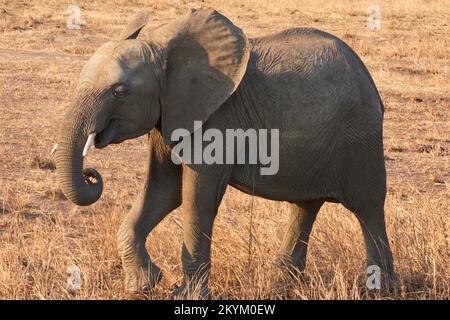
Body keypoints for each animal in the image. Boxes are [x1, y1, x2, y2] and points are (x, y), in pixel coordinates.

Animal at [53, 8, 394, 298]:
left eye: (120, 92)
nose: (91, 174)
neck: (162, 50)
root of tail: (371, 84)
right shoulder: (170, 115)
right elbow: (163, 190)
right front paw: (144, 284)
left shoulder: (216, 120)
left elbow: (196, 197)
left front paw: (184, 295)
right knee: (305, 206)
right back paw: (281, 286)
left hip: (359, 137)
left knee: (368, 209)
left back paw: (381, 290)